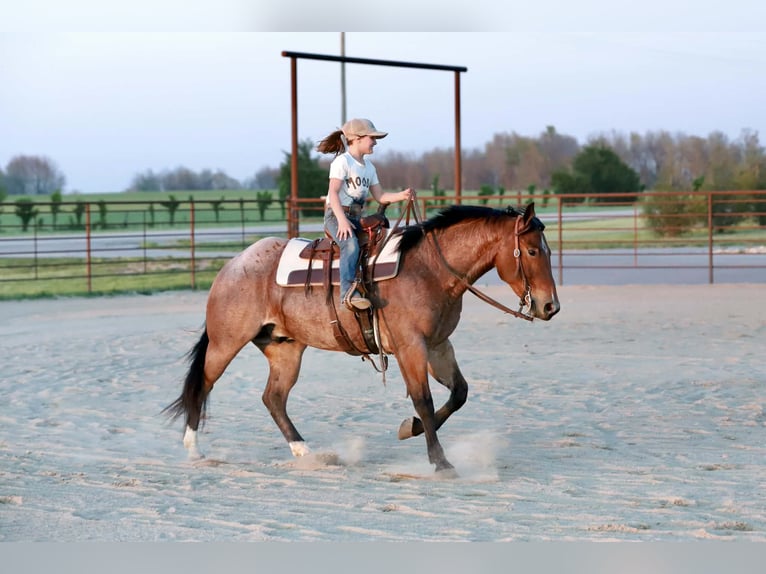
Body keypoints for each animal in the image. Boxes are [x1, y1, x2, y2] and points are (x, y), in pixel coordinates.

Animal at [165, 202, 560, 475]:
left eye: (548, 250)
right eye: (532, 250)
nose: (550, 306)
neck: (430, 270)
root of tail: (233, 265)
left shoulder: (438, 346)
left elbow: (458, 393)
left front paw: (409, 429)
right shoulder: (410, 347)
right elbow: (424, 400)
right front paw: (440, 461)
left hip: (285, 349)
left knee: (273, 398)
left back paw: (306, 453)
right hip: (225, 343)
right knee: (202, 384)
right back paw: (194, 449)